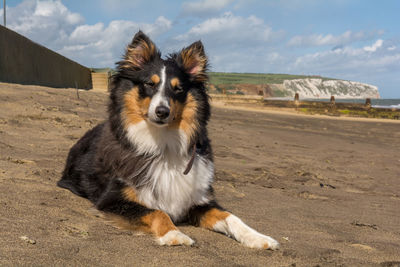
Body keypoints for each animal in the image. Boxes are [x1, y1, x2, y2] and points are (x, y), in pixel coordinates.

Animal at [57, 31, 280, 251]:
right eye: (149, 84)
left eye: (178, 88)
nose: (162, 112)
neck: (162, 142)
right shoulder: (112, 199)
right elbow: (158, 212)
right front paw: (174, 234)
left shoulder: (197, 200)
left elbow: (231, 216)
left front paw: (258, 237)